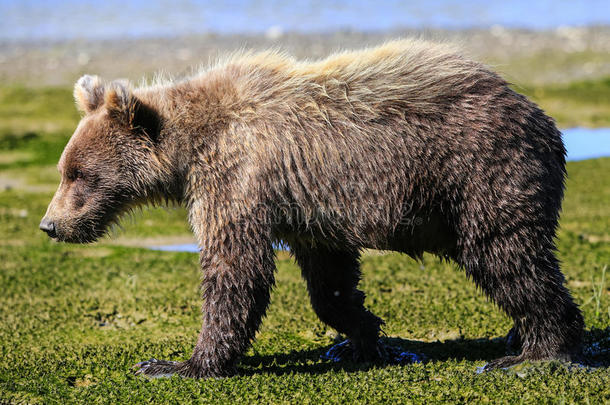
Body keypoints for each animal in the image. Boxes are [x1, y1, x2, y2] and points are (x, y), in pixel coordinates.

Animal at [40, 39, 580, 378]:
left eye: (78, 174)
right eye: (64, 169)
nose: (50, 224)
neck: (188, 149)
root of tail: (540, 117)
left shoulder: (236, 180)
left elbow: (236, 270)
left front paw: (176, 365)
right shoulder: (307, 207)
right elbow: (329, 281)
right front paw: (360, 336)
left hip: (479, 173)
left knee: (506, 254)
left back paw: (534, 351)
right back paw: (515, 338)